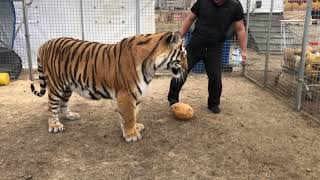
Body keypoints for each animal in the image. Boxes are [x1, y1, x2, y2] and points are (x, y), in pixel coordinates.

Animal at [30, 31, 188, 143]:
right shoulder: (126, 93)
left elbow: (133, 114)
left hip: (68, 86)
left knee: (63, 103)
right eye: (183, 55)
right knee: (51, 106)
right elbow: (129, 115)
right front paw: (131, 135)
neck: (151, 66)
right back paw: (55, 125)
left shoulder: (135, 93)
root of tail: (45, 44)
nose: (187, 69)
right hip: (56, 85)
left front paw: (134, 127)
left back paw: (70, 116)